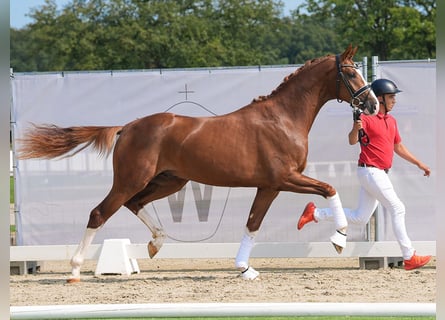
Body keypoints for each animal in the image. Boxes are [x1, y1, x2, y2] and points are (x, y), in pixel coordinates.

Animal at [19, 45, 376, 282]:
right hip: (131, 180)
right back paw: (75, 269)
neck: (283, 119)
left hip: (169, 181)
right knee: (99, 213)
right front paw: (339, 239)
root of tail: (126, 127)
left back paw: (156, 243)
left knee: (135, 204)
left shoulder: (268, 186)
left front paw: (245, 269)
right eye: (351, 73)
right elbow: (328, 189)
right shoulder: (285, 178)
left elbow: (252, 224)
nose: (372, 105)